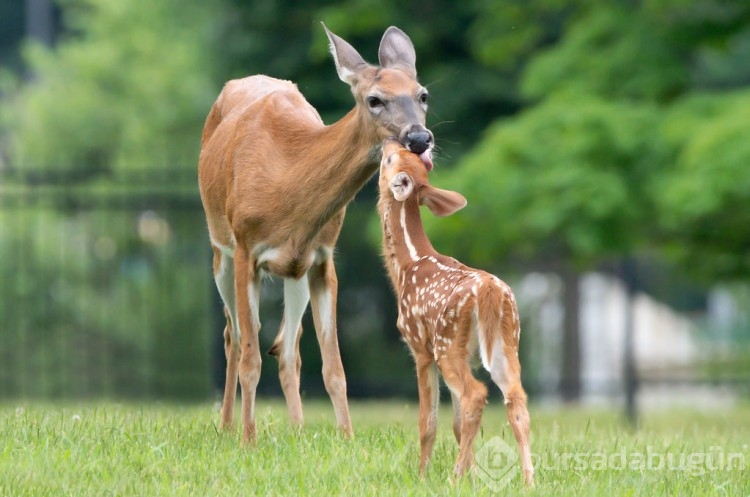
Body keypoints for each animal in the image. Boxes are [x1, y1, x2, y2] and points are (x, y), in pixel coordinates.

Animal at [198, 25, 434, 440]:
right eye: (374, 99)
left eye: (423, 95)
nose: (419, 139)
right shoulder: (246, 248)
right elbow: (250, 358)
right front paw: (248, 440)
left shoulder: (322, 258)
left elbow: (334, 367)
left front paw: (347, 438)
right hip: (220, 250)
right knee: (234, 337)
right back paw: (227, 426)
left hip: (295, 272)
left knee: (287, 348)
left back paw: (296, 428)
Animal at [378, 139, 532, 484]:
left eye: (391, 159)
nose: (389, 141)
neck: (407, 265)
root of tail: (490, 291)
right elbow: (458, 424)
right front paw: (473, 478)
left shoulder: (420, 348)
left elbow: (428, 423)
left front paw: (423, 476)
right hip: (506, 342)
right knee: (516, 399)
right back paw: (529, 480)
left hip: (447, 344)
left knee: (476, 394)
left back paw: (452, 476)